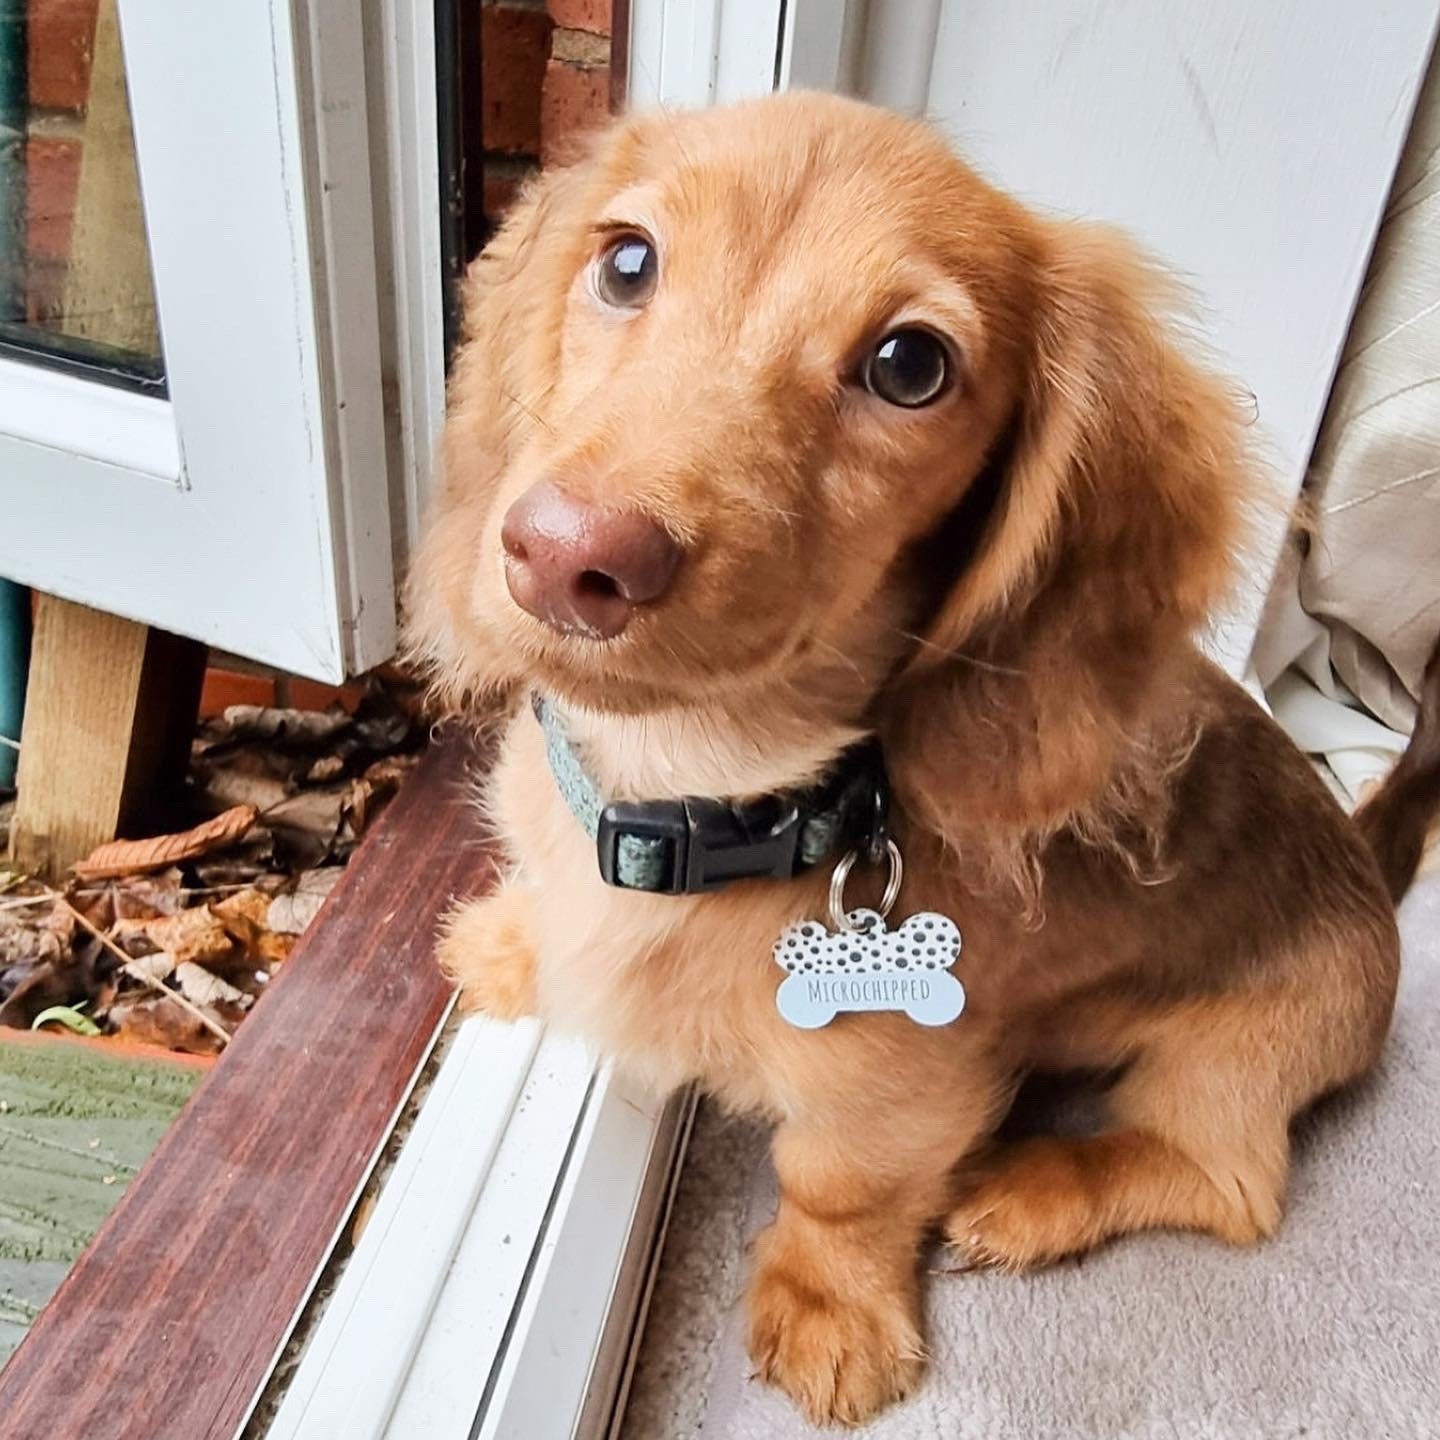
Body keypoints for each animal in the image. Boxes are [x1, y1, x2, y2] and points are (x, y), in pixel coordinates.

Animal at [403, 92, 1440, 1428]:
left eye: (909, 366)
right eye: (627, 263)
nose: (569, 555)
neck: (688, 790)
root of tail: (1365, 865)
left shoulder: (903, 1080)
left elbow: (841, 1182)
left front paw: (829, 1308)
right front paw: (517, 944)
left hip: (1239, 1057)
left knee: (1228, 1180)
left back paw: (1035, 1191)